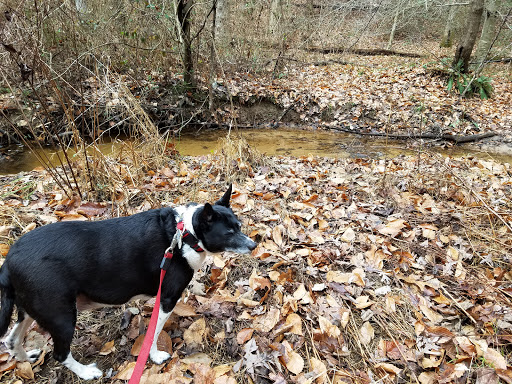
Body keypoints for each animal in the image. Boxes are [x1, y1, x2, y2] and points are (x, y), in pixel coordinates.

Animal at [0, 185, 256, 378]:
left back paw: (25, 357)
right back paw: (85, 373)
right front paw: (156, 356)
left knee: (11, 340)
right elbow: (154, 333)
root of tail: (9, 261)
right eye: (229, 233)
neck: (185, 234)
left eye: (239, 227)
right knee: (60, 354)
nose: (254, 245)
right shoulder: (167, 298)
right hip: (61, 316)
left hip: (31, 308)